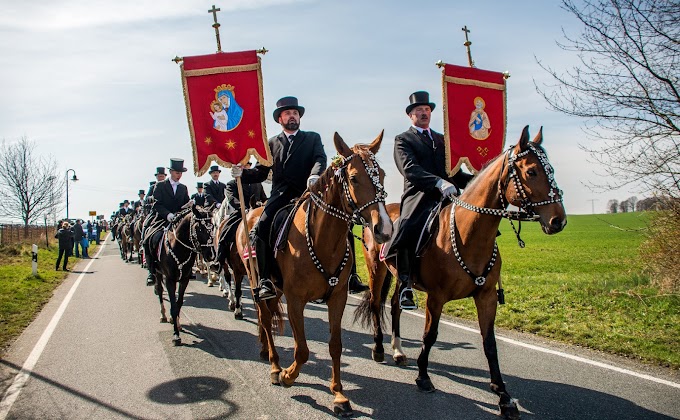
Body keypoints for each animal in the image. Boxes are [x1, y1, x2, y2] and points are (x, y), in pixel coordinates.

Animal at [151, 203, 215, 344]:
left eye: (213, 226)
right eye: (199, 228)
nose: (211, 254)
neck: (179, 249)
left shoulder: (184, 279)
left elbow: (178, 303)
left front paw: (177, 324)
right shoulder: (169, 280)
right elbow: (173, 306)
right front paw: (176, 335)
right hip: (158, 273)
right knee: (159, 290)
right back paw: (163, 314)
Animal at [235, 132, 394, 416]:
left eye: (383, 175)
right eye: (354, 178)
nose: (384, 229)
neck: (320, 240)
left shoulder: (338, 298)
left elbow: (335, 346)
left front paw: (339, 395)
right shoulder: (295, 300)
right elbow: (302, 350)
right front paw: (288, 376)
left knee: (268, 321)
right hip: (257, 283)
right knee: (264, 319)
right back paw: (274, 367)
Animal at [354, 126, 564, 418]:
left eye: (551, 169)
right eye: (532, 171)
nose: (559, 220)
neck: (468, 234)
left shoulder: (486, 297)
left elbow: (489, 343)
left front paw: (503, 395)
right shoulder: (436, 298)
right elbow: (430, 336)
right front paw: (423, 377)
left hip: (400, 277)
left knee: (396, 304)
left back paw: (398, 351)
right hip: (377, 270)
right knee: (376, 304)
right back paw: (378, 350)